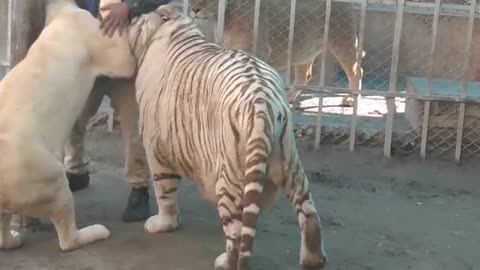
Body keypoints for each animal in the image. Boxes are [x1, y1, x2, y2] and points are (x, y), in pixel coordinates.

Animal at [105, 1, 328, 268]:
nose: (127, 15)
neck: (176, 30)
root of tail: (261, 102)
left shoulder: (156, 144)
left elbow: (164, 189)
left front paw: (162, 224)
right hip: (290, 162)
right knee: (309, 212)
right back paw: (313, 259)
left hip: (229, 174)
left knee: (236, 231)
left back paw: (224, 260)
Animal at [189, 0, 362, 107]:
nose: (194, 9)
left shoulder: (257, 50)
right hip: (304, 48)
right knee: (304, 75)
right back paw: (289, 98)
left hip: (342, 40)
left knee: (356, 71)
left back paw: (351, 99)